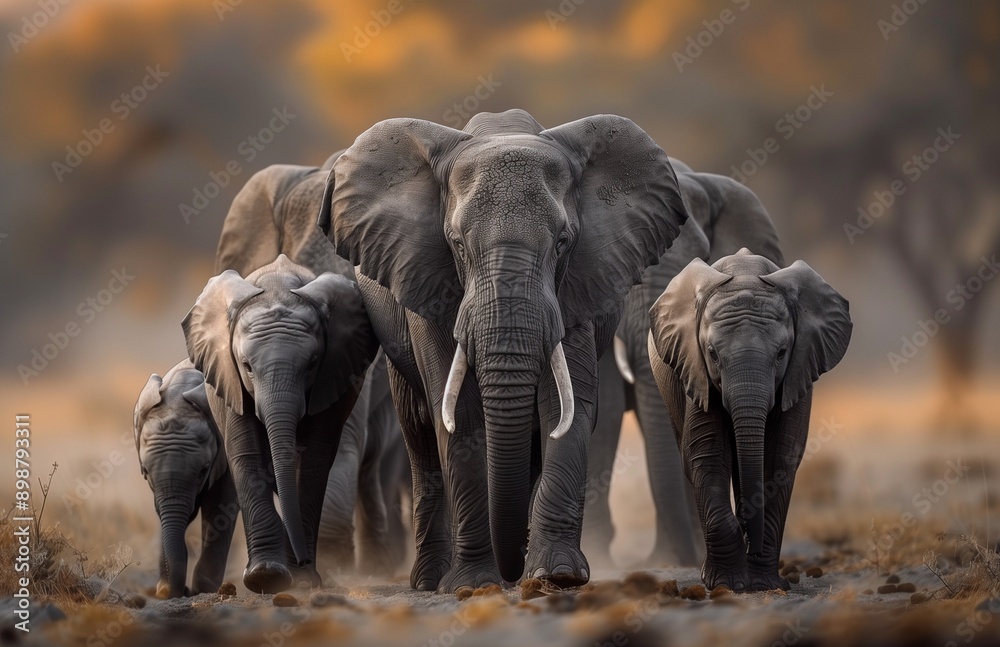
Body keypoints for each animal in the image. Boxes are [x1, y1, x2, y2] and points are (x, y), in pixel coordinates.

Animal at [133, 359, 238, 598]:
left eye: (203, 470)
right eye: (145, 471)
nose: (183, 590)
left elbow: (220, 506)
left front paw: (203, 589)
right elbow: (170, 513)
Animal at [183, 254, 378, 593]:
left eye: (312, 364)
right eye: (246, 366)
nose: (302, 560)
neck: (278, 288)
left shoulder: (332, 377)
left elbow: (313, 461)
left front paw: (300, 579)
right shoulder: (230, 380)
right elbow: (246, 455)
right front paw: (266, 576)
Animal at [318, 109, 689, 591]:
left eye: (563, 242)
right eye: (457, 244)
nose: (511, 573)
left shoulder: (578, 286)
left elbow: (565, 408)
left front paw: (559, 575)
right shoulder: (428, 279)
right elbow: (458, 415)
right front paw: (474, 584)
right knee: (420, 436)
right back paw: (431, 580)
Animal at [647, 248, 852, 591]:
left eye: (782, 352)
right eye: (712, 354)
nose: (746, 528)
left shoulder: (800, 371)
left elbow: (779, 458)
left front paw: (763, 584)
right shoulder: (695, 369)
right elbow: (706, 453)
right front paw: (726, 582)